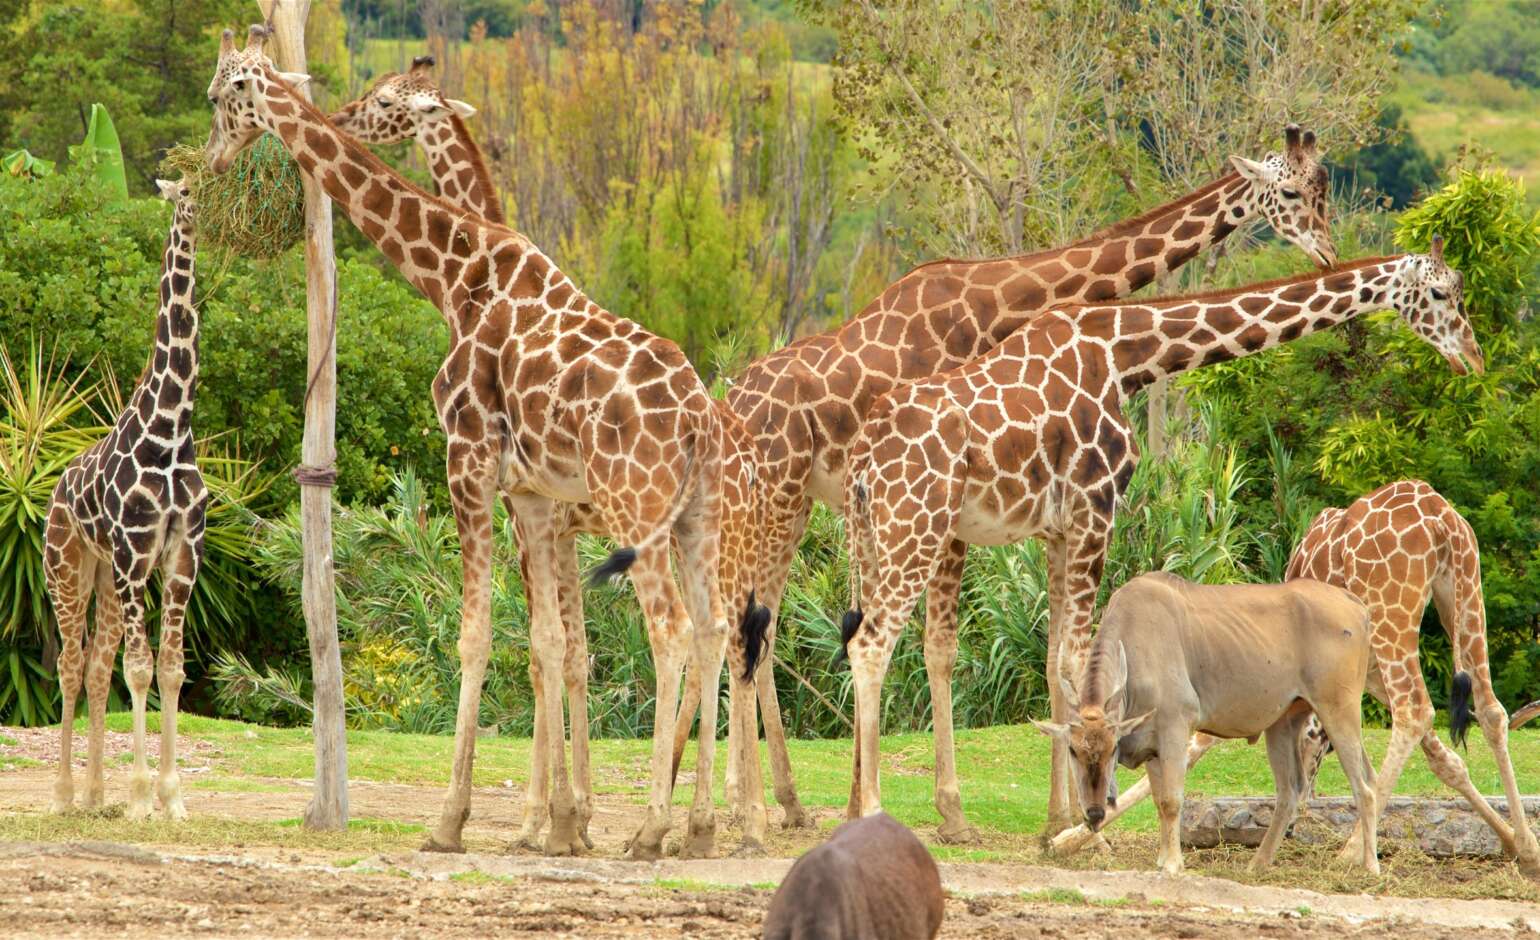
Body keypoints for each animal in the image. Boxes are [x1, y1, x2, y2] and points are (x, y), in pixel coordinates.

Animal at [203, 23, 739, 856]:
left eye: (220, 97)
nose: (213, 159)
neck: (456, 277)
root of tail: (698, 418)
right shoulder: (538, 500)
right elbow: (555, 646)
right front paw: (561, 824)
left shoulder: (471, 464)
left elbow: (481, 636)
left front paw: (460, 821)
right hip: (696, 517)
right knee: (716, 633)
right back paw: (704, 826)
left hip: (639, 508)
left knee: (675, 632)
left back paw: (656, 826)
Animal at [729, 122, 1336, 832]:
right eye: (1292, 193)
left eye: (1323, 188)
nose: (1329, 252)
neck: (1004, 302)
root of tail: (727, 400)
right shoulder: (955, 510)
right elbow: (942, 648)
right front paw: (952, 811)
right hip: (781, 498)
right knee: (750, 625)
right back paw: (752, 807)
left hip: (789, 504)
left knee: (749, 623)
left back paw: (770, 802)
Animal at [837, 240, 1484, 832]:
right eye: (1440, 294)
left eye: (1458, 291)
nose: (1472, 359)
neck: (1127, 356)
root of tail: (863, 455)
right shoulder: (1095, 510)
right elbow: (1075, 658)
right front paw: (1084, 821)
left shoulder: (1058, 529)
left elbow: (1053, 660)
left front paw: (1057, 820)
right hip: (915, 528)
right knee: (871, 645)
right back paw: (873, 809)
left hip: (872, 537)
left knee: (864, 638)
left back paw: (858, 807)